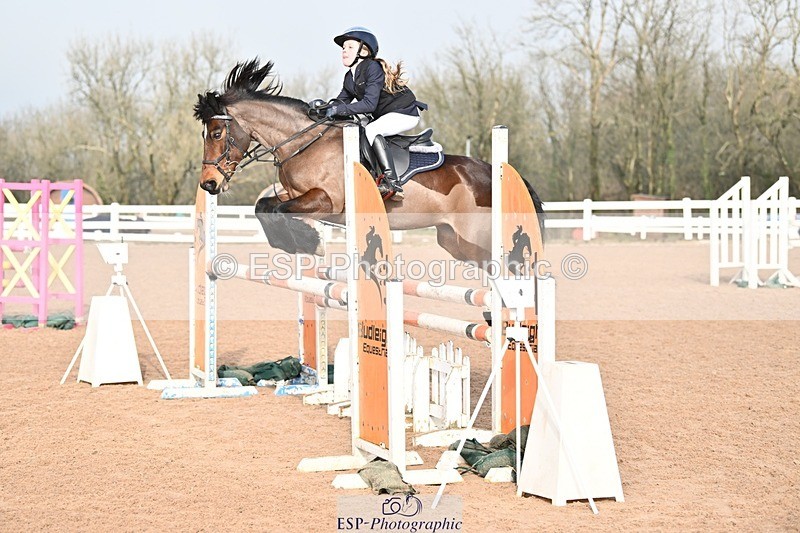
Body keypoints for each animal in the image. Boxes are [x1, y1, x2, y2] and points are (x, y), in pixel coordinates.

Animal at [193, 58, 544, 266]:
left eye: (216, 133)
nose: (209, 183)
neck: (303, 143)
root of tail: (491, 171)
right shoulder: (295, 196)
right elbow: (263, 207)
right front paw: (298, 243)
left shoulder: (328, 201)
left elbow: (278, 210)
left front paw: (309, 243)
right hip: (454, 240)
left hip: (475, 237)